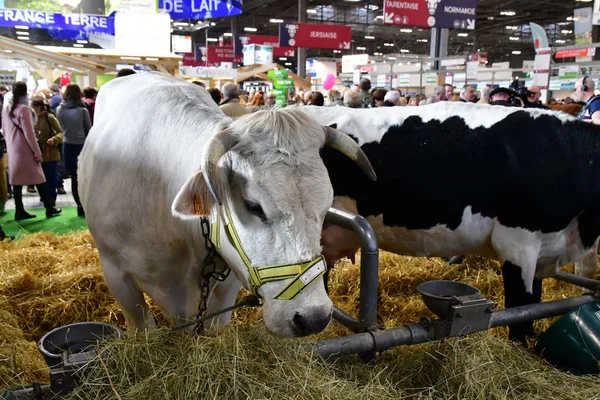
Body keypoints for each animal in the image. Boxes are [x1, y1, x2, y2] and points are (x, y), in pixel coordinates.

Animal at [77, 72, 372, 338]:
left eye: (325, 207)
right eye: (254, 206)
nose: (313, 318)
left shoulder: (228, 281)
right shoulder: (117, 275)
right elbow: (142, 327)